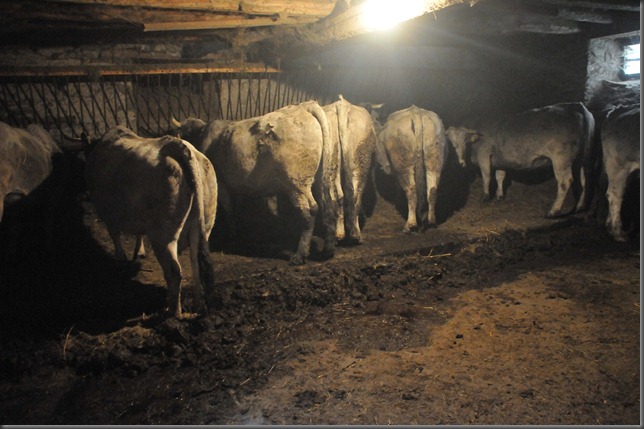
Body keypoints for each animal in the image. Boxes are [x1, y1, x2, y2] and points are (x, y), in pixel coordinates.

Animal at [84, 126, 218, 318]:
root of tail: (180, 147)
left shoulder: (107, 212)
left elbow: (115, 236)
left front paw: (121, 258)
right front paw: (138, 251)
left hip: (163, 235)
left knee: (174, 272)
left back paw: (173, 312)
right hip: (203, 226)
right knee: (196, 263)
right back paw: (198, 305)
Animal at [171, 100, 337, 265]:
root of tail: (305, 106)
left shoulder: (222, 184)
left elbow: (229, 208)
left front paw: (232, 233)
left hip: (297, 183)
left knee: (310, 210)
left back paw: (300, 254)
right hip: (319, 177)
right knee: (327, 204)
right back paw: (328, 249)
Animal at [323, 95, 377, 244]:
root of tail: (342, 105)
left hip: (332, 161)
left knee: (337, 196)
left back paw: (340, 234)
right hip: (361, 163)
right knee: (355, 196)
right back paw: (355, 234)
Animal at [374, 105, 448, 233]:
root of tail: (416, 112)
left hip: (404, 164)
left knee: (411, 191)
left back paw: (410, 225)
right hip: (434, 160)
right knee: (432, 190)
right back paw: (431, 221)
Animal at [445, 102, 595, 218]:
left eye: (465, 141)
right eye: (452, 143)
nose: (460, 162)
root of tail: (575, 106)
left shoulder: (484, 155)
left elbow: (487, 177)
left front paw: (485, 197)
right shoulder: (500, 160)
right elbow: (500, 177)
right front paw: (499, 196)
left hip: (561, 160)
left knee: (565, 182)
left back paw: (553, 211)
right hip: (582, 159)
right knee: (585, 180)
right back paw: (579, 207)